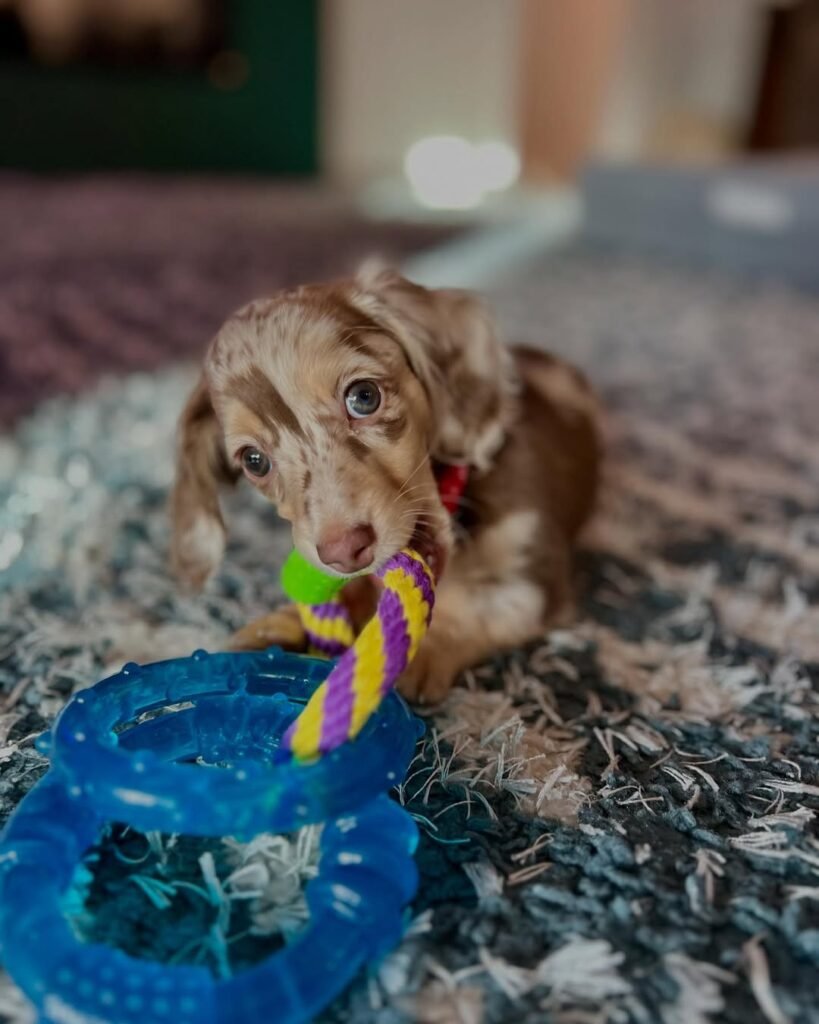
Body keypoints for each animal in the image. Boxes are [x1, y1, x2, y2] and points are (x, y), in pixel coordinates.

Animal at [169, 262, 601, 704]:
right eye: (254, 461)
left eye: (364, 397)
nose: (343, 552)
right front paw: (278, 628)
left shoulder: (534, 581)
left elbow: (470, 610)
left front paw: (413, 652)